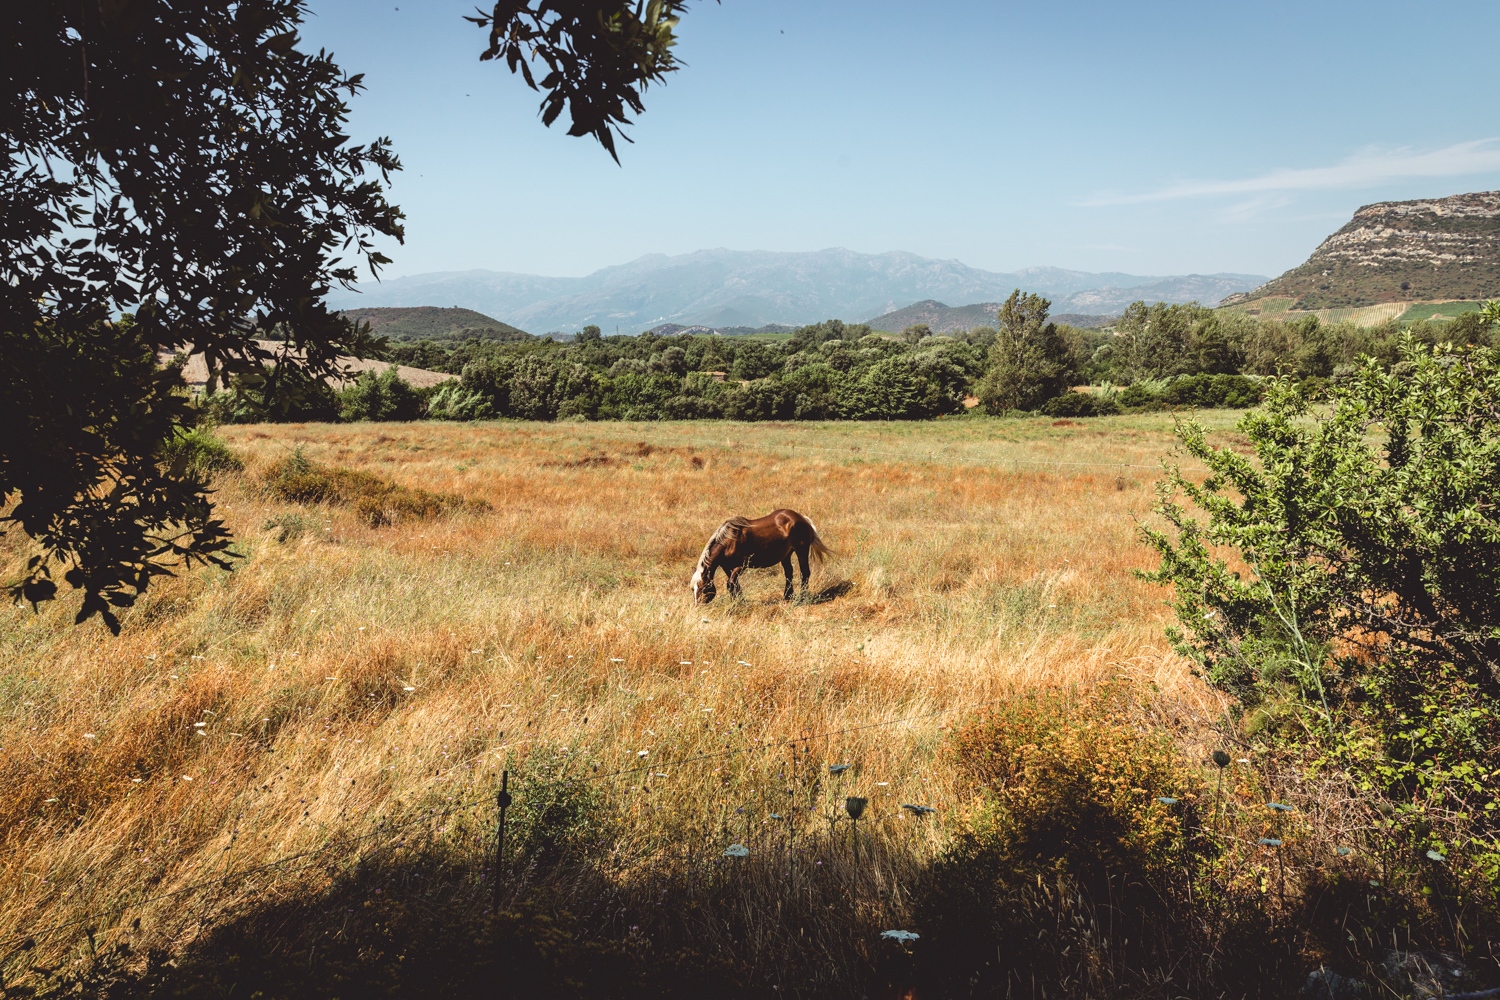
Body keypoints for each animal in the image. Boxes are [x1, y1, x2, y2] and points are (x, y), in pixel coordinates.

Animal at [690, 509, 834, 602]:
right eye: (693, 589)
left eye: (703, 588)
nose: (698, 606)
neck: (729, 541)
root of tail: (802, 518)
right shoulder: (727, 566)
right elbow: (734, 583)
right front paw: (739, 600)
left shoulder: (741, 566)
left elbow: (730, 583)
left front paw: (737, 602)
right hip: (786, 555)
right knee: (789, 573)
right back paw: (787, 596)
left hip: (801, 550)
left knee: (805, 573)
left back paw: (802, 597)